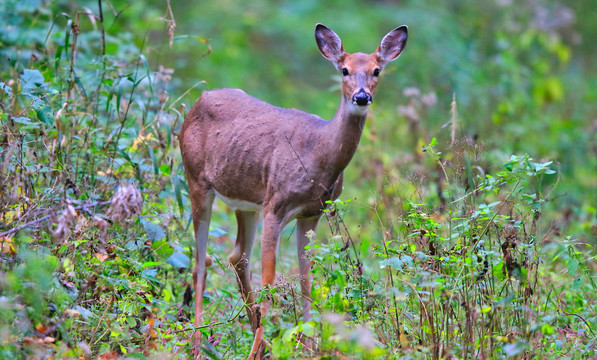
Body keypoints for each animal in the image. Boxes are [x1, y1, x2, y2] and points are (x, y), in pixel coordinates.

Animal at [179, 22, 408, 358]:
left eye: (377, 70)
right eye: (344, 70)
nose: (361, 96)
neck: (318, 155)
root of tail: (198, 101)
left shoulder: (312, 213)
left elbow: (305, 279)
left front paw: (308, 345)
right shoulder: (276, 205)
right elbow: (271, 280)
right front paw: (258, 350)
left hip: (246, 202)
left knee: (237, 256)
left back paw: (255, 334)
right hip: (196, 179)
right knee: (201, 261)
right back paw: (199, 342)